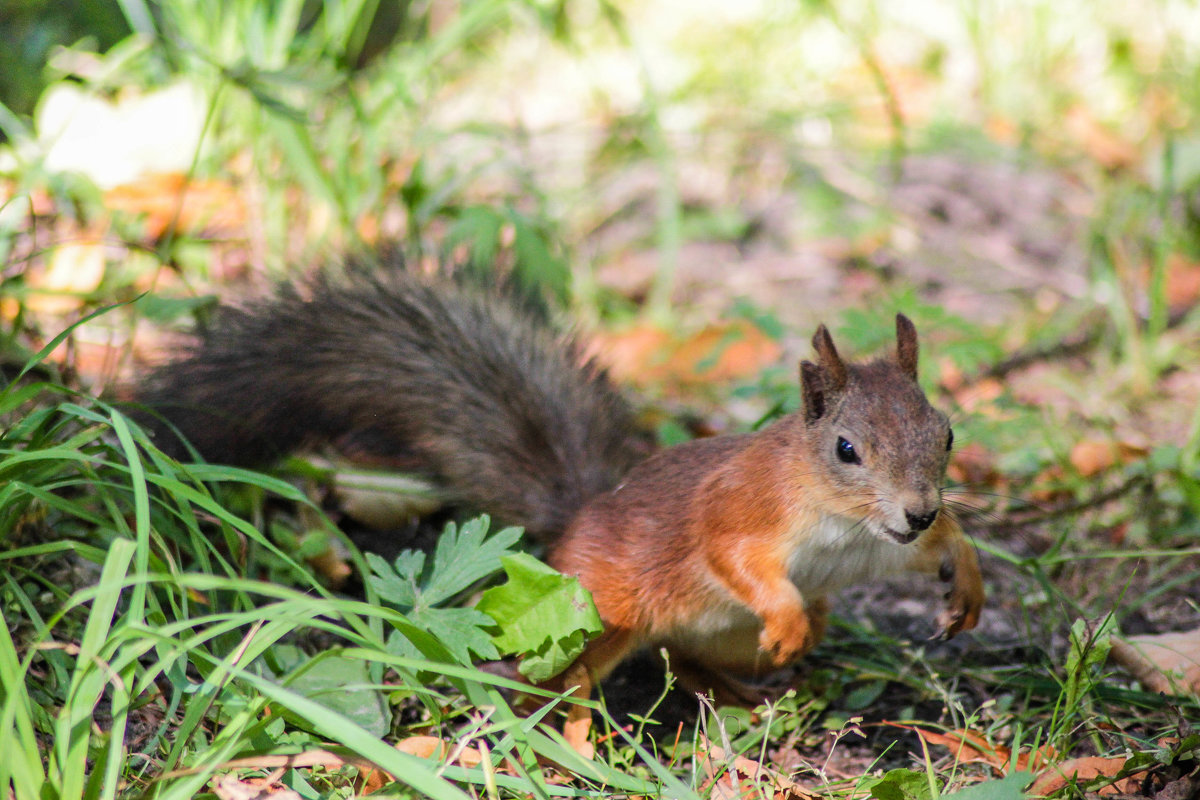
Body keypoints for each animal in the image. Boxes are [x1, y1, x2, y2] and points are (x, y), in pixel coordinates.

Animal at [138, 268, 984, 705]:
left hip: (724, 634)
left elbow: (944, 545)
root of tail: (579, 520)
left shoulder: (877, 550)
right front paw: (782, 611)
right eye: (846, 449)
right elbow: (734, 559)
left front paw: (965, 581)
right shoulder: (742, 513)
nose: (916, 508)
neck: (843, 523)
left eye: (945, 434)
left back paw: (744, 686)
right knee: (567, 672)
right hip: (597, 613)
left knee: (682, 657)